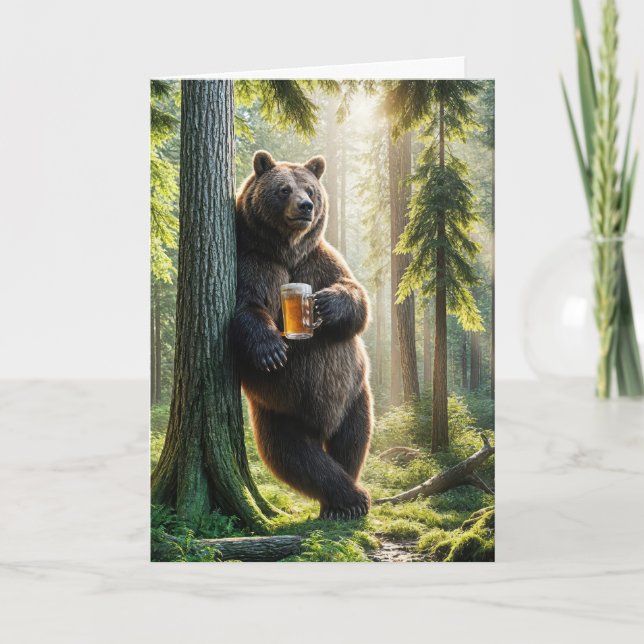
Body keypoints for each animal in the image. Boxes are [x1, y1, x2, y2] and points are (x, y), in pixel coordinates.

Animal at [232, 150, 373, 520]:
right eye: (284, 189)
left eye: (310, 188)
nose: (306, 206)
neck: (287, 250)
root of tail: (320, 425)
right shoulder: (256, 264)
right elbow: (247, 307)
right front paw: (272, 350)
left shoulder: (320, 260)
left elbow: (357, 300)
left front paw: (327, 304)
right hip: (281, 410)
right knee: (296, 457)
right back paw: (346, 499)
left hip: (354, 393)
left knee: (353, 439)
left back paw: (347, 500)